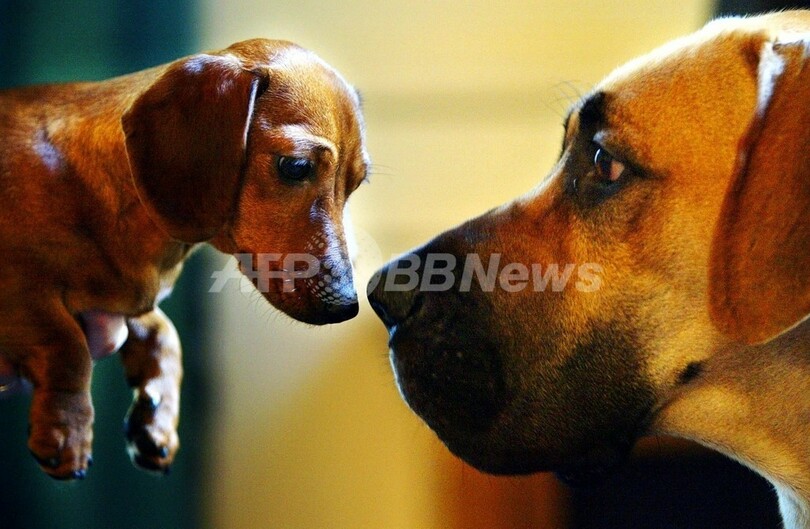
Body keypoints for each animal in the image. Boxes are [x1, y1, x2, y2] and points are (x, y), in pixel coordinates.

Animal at [0, 40, 366, 478]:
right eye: (295, 166)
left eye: (357, 183)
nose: (347, 306)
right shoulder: (22, 288)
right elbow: (68, 346)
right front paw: (67, 431)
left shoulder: (123, 302)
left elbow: (166, 336)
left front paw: (156, 422)